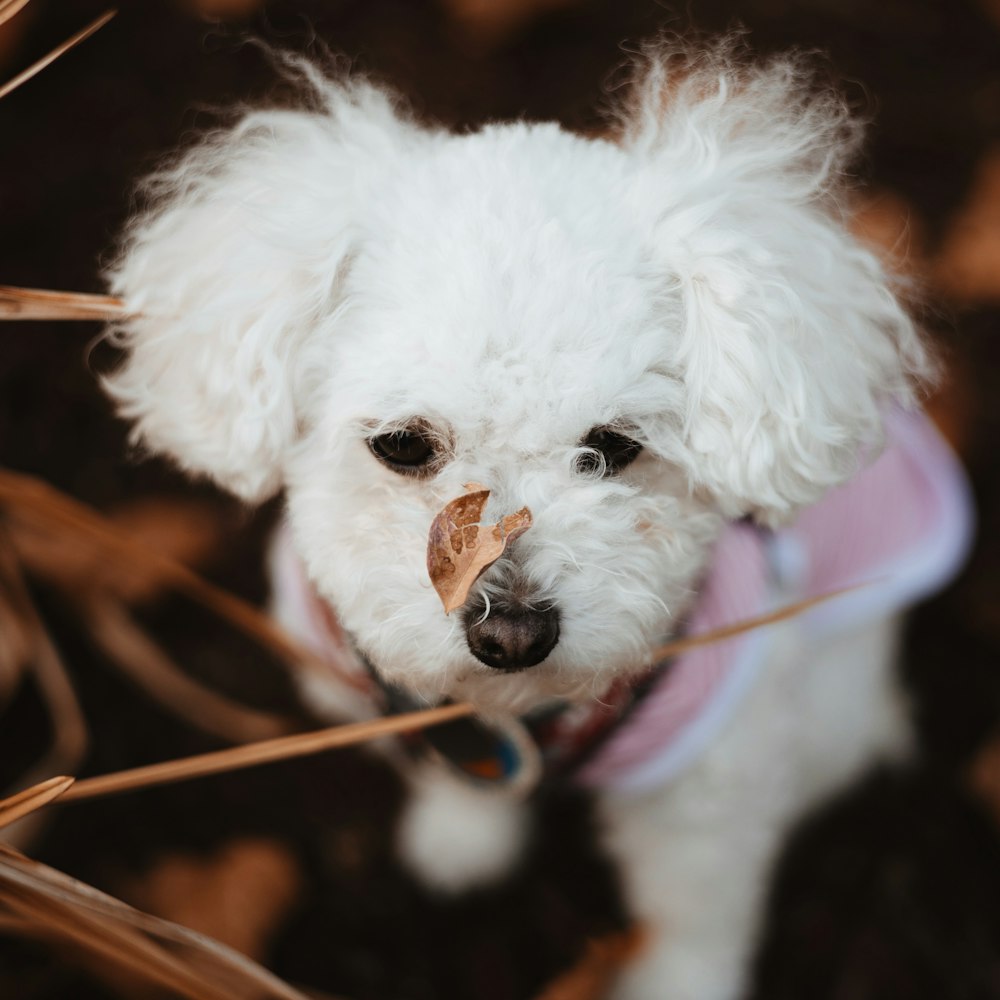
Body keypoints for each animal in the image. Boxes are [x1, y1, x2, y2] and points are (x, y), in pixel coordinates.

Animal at [101, 43, 968, 1000]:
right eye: (401, 444)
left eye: (614, 446)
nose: (511, 632)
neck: (524, 718)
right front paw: (462, 838)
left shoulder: (709, 787)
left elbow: (696, 916)